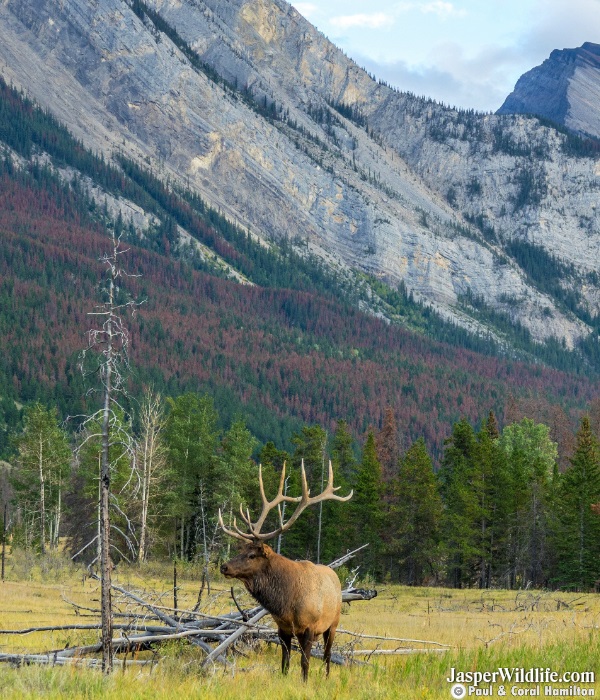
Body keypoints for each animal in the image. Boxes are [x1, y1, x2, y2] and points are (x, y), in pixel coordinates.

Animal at [218, 460, 352, 681]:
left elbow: (305, 664)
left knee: (327, 655)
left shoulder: (309, 628)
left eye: (252, 555)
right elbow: (285, 664)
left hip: (333, 623)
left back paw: (326, 677)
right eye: (241, 550)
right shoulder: (283, 628)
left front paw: (305, 682)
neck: (286, 603)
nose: (224, 566)